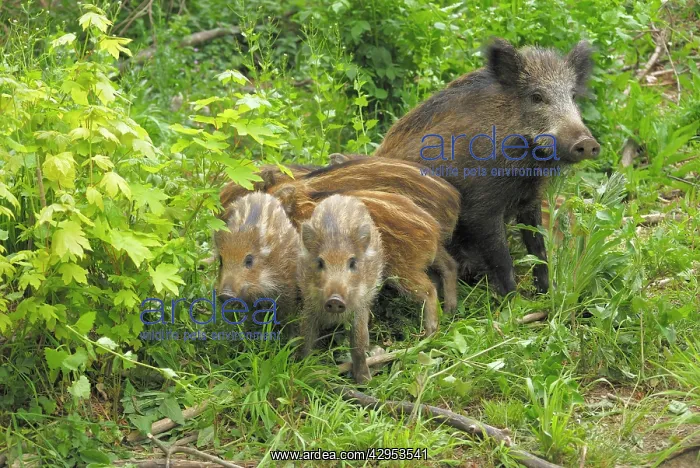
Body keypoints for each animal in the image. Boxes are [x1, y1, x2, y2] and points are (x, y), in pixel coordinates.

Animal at [274, 184, 455, 335]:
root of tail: (433, 228)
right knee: (450, 265)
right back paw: (449, 311)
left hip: (403, 269)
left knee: (429, 289)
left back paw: (430, 332)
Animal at [298, 194, 384, 384]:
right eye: (320, 262)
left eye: (352, 262)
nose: (335, 299)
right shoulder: (309, 306)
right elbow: (306, 338)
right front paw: (302, 370)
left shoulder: (359, 307)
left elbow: (358, 343)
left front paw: (365, 382)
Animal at [374, 38, 600, 296]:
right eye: (536, 96)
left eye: (572, 96)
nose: (587, 142)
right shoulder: (480, 208)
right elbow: (502, 259)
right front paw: (514, 301)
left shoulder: (529, 199)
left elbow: (538, 248)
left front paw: (548, 293)